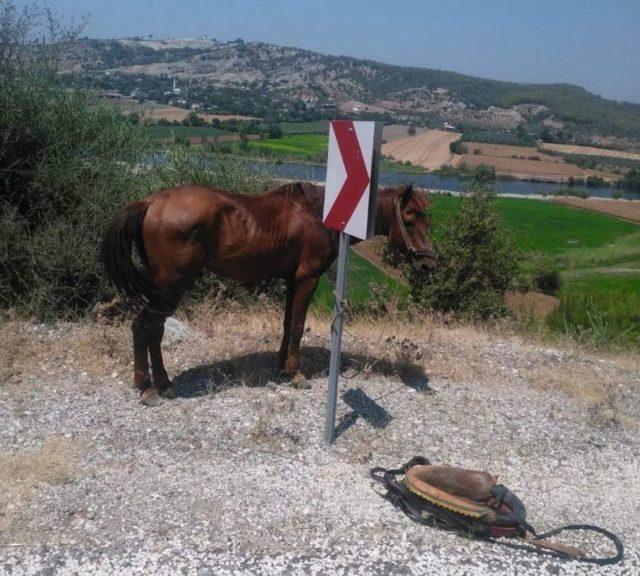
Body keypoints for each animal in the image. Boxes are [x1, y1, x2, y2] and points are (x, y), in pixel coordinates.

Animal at [102, 181, 438, 404]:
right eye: (409, 220)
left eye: (427, 218)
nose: (428, 264)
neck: (318, 214)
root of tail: (150, 202)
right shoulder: (307, 279)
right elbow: (299, 326)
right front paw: (296, 374)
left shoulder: (291, 281)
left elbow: (288, 325)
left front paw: (281, 368)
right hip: (171, 286)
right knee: (143, 328)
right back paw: (147, 388)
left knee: (154, 331)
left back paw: (163, 383)